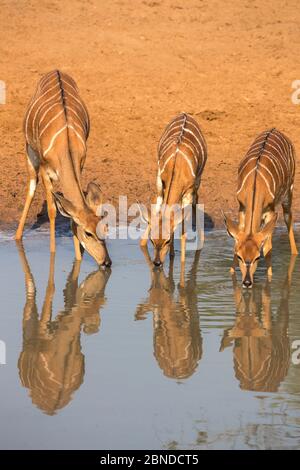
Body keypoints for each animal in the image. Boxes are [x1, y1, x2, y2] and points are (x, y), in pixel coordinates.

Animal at [15, 70, 111, 268]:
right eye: (88, 233)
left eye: (105, 228)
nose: (106, 262)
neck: (65, 142)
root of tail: (56, 70)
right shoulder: (45, 168)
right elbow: (52, 210)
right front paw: (53, 252)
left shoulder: (80, 164)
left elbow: (71, 217)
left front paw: (78, 259)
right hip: (29, 150)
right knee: (31, 187)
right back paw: (17, 236)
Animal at [140, 112, 206, 266]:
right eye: (152, 240)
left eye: (167, 240)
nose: (157, 262)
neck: (177, 166)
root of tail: (185, 114)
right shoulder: (160, 181)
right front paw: (171, 255)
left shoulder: (188, 192)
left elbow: (183, 231)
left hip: (197, 181)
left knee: (197, 199)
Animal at [225, 129, 298, 286]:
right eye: (239, 256)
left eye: (257, 257)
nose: (247, 282)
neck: (255, 185)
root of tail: (275, 129)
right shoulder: (242, 208)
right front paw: (231, 273)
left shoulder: (270, 211)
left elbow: (267, 247)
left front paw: (269, 277)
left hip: (289, 191)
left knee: (288, 217)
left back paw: (295, 253)